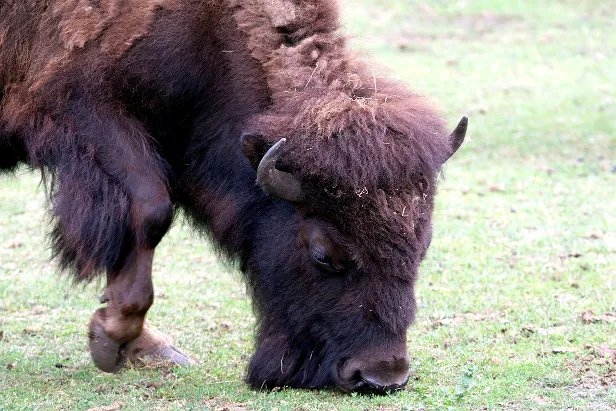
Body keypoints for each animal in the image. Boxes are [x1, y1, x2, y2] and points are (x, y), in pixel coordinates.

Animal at [0, 0, 466, 394]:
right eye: (321, 254)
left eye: (422, 248)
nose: (380, 377)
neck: (210, 34)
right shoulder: (80, 107)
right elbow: (150, 211)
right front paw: (112, 337)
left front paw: (139, 346)